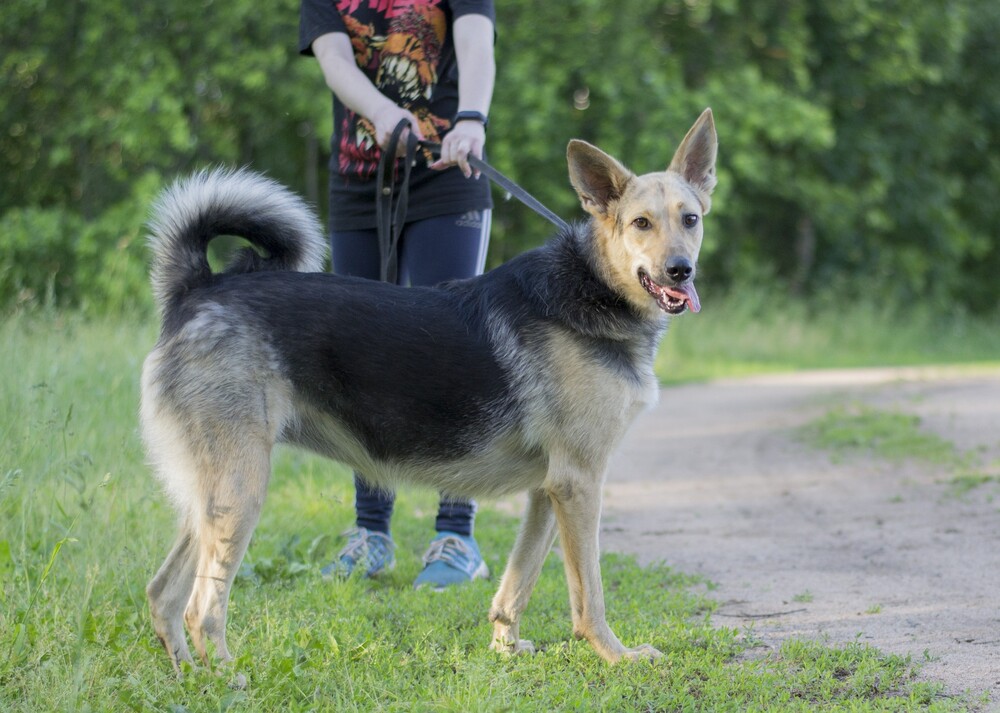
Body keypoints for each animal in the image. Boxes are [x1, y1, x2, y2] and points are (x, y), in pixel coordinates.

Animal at [143, 108, 720, 672]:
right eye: (641, 223)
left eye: (689, 220)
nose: (681, 271)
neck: (595, 286)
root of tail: (199, 286)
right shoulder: (579, 483)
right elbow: (589, 595)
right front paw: (616, 655)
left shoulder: (549, 488)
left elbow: (518, 580)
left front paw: (506, 646)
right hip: (242, 490)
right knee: (201, 608)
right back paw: (227, 677)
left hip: (211, 498)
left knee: (162, 594)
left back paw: (187, 676)